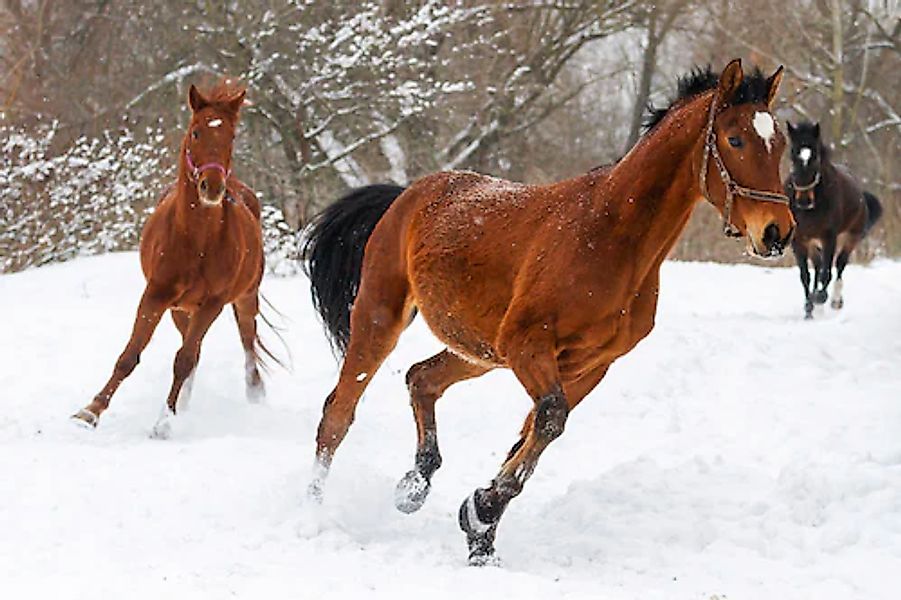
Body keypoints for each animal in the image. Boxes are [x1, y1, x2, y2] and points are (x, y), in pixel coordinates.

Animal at [72, 81, 270, 436]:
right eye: (196, 132)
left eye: (231, 136)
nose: (211, 187)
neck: (196, 240)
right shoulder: (156, 295)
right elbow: (129, 356)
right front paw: (90, 411)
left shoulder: (213, 303)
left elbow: (183, 360)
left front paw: (164, 422)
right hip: (180, 310)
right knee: (196, 347)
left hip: (245, 298)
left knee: (246, 341)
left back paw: (253, 393)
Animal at [304, 59, 796, 564]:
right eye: (735, 140)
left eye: (779, 143)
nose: (776, 233)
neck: (611, 236)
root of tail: (406, 195)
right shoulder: (529, 347)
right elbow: (548, 421)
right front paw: (480, 514)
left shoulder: (587, 366)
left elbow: (532, 436)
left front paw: (480, 528)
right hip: (381, 318)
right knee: (337, 413)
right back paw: (314, 513)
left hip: (478, 351)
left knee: (420, 379)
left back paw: (414, 486)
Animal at [784, 120, 884, 318]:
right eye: (793, 155)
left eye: (815, 157)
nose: (803, 201)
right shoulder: (799, 240)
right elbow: (805, 276)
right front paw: (809, 310)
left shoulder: (829, 237)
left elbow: (826, 273)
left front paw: (820, 298)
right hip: (813, 243)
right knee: (818, 265)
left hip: (850, 237)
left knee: (839, 265)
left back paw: (835, 301)